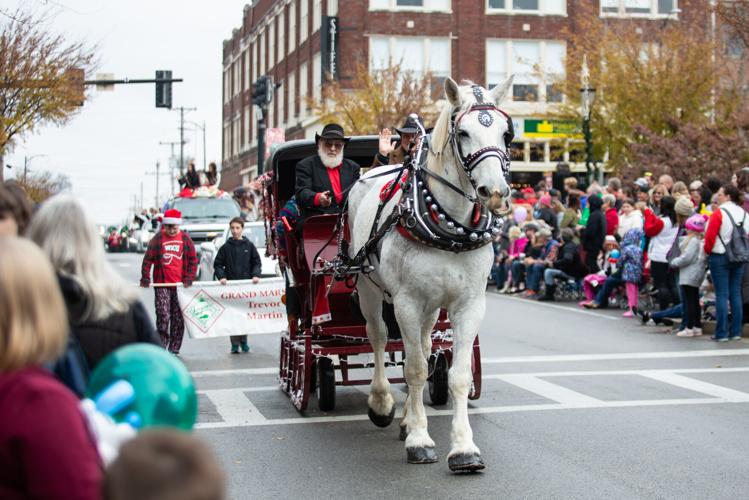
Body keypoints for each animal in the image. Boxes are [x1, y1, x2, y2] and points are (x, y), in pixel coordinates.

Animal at [346, 76, 512, 470]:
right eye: (463, 132)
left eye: (506, 133)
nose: (495, 192)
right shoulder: (406, 301)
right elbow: (415, 369)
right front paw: (420, 440)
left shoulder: (469, 304)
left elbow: (457, 375)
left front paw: (464, 448)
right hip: (369, 287)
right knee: (378, 337)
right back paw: (382, 404)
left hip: (432, 306)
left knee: (420, 344)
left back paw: (407, 417)